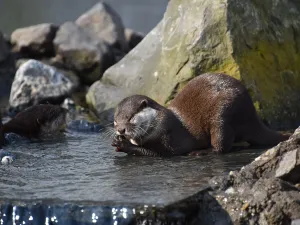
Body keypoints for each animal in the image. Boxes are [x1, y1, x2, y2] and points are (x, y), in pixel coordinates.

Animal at [111, 73, 290, 156]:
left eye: (130, 117)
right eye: (115, 120)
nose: (121, 130)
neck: (159, 123)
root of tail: (252, 114)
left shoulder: (169, 136)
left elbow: (158, 152)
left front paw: (124, 144)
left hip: (223, 112)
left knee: (221, 144)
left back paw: (202, 152)